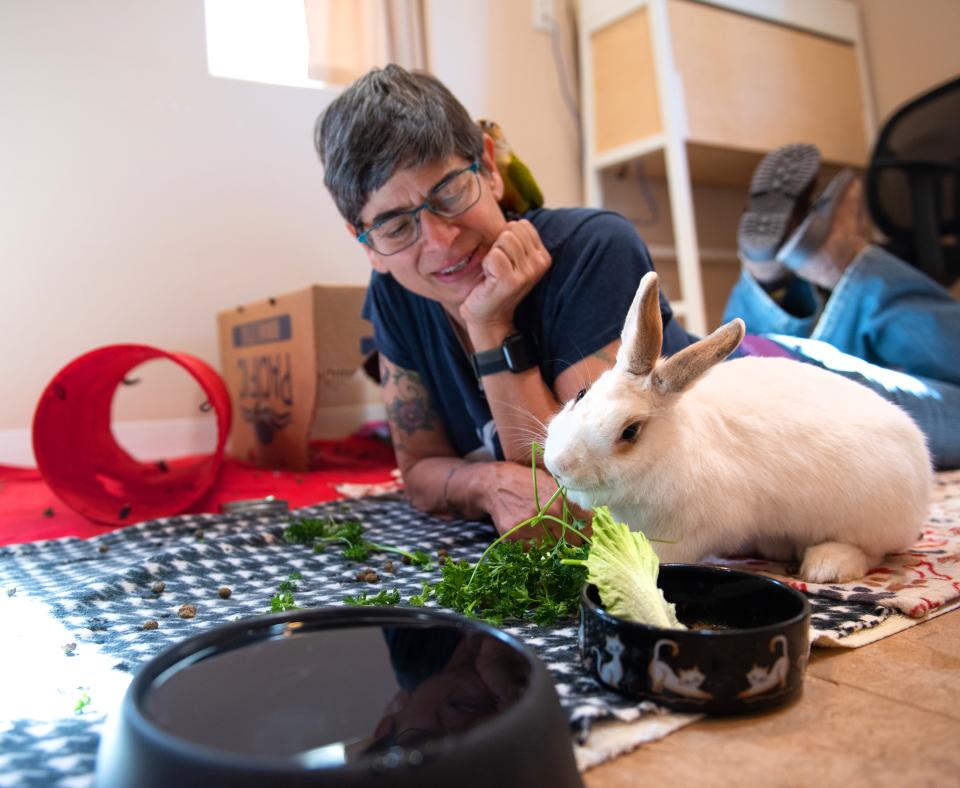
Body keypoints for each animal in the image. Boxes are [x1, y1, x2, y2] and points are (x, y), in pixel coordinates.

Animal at [544, 270, 932, 584]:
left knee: (870, 551)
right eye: (581, 394)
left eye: (630, 432)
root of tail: (921, 460)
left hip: (867, 523)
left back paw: (826, 566)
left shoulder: (684, 533)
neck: (668, 450)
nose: (557, 466)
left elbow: (660, 557)